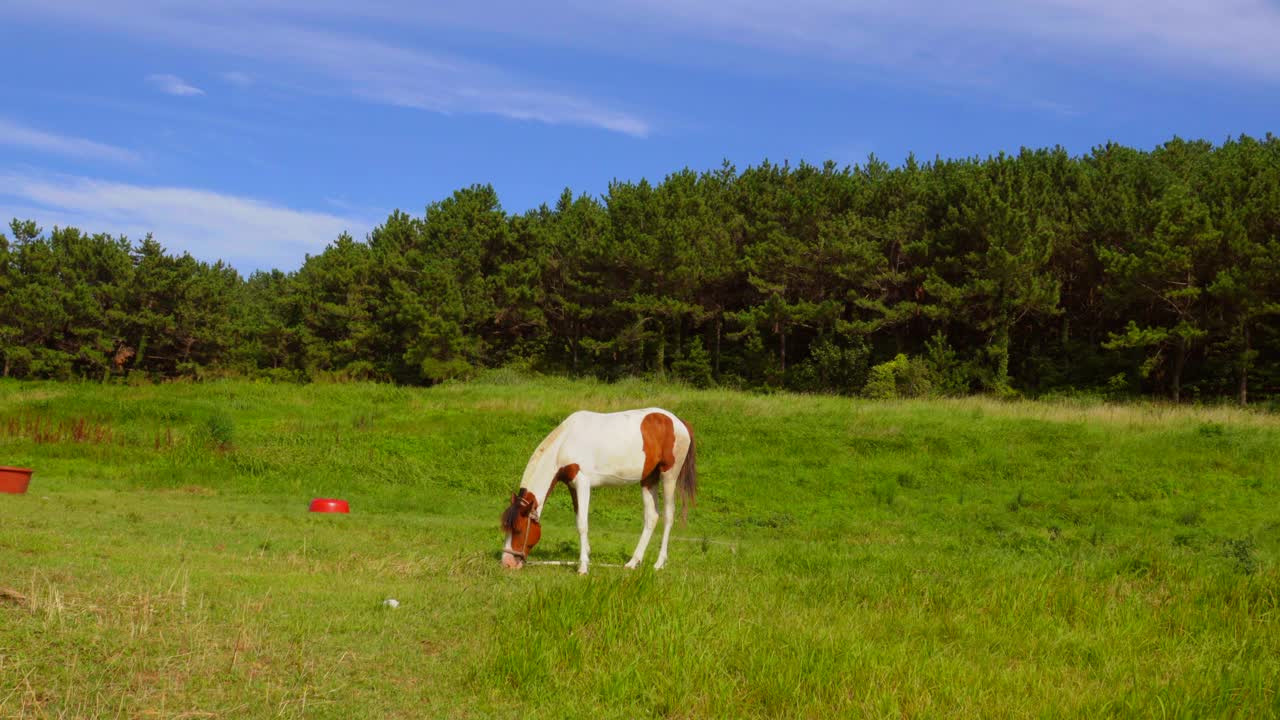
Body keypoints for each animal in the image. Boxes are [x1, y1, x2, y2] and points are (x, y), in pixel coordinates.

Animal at [501, 409, 701, 571]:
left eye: (519, 530)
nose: (507, 563)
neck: (566, 442)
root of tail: (679, 422)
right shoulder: (573, 486)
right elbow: (578, 520)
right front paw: (586, 557)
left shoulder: (583, 483)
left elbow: (582, 524)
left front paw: (583, 567)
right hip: (648, 479)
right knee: (652, 517)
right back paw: (632, 562)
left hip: (669, 476)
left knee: (668, 516)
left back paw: (659, 563)